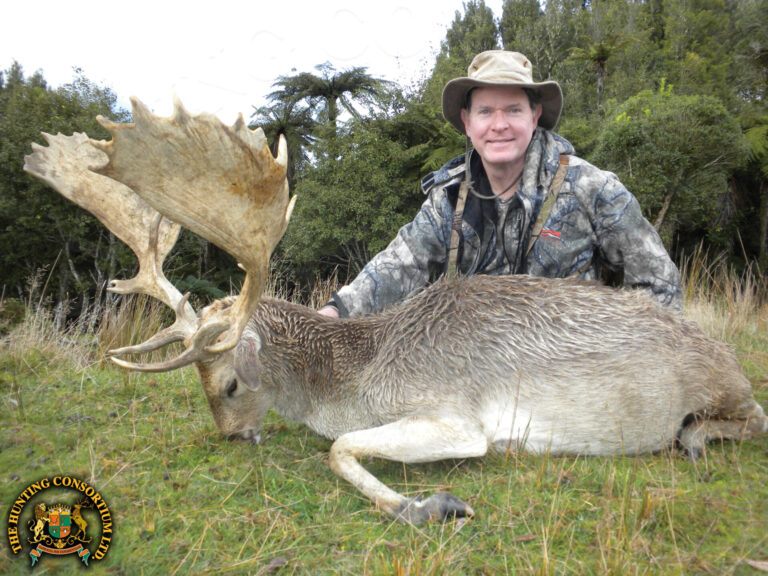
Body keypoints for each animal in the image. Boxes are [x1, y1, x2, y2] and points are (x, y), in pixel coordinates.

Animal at [24, 97, 768, 524]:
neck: (357, 378)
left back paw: (695, 437)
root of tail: (726, 357)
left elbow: (340, 450)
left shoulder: (457, 416)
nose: (235, 437)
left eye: (230, 383)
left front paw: (433, 506)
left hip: (721, 389)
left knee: (751, 417)